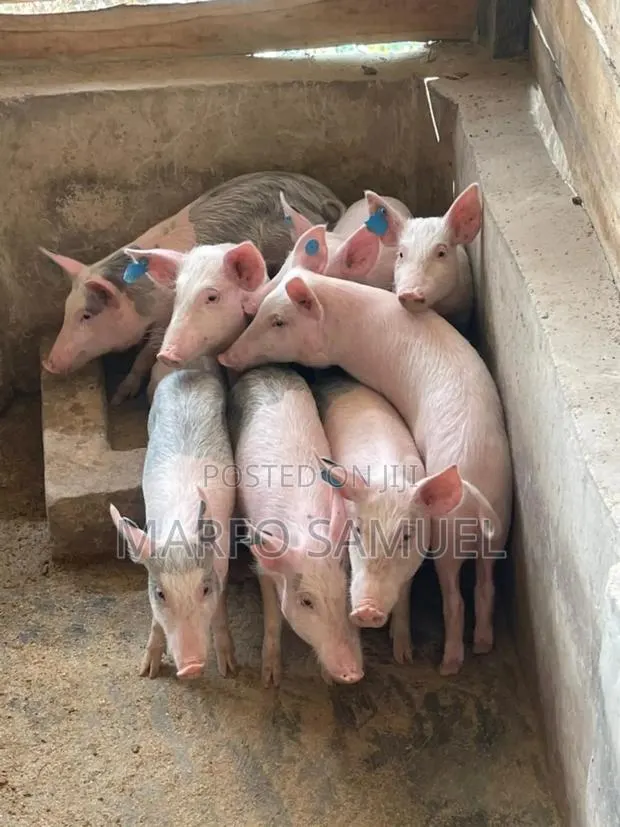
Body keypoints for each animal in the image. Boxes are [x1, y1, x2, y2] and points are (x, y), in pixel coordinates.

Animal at [41, 171, 346, 403]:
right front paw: (118, 398)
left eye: (86, 315)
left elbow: (144, 355)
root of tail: (320, 192)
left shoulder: (162, 320)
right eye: (66, 310)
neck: (142, 301)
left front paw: (121, 396)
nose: (48, 364)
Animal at [109, 356, 236, 679]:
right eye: (160, 593)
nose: (191, 667)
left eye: (204, 588)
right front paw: (147, 672)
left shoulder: (223, 559)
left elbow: (221, 608)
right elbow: (156, 621)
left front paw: (229, 669)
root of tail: (190, 369)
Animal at [228, 365, 363, 686]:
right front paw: (270, 680)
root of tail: (263, 369)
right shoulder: (264, 566)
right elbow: (273, 617)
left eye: (344, 591)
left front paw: (328, 680)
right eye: (306, 602)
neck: (305, 529)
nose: (354, 673)